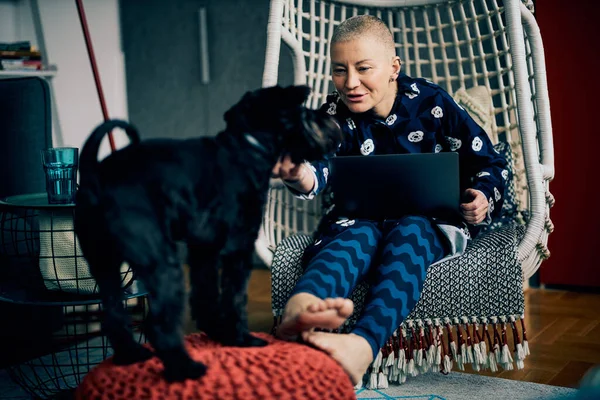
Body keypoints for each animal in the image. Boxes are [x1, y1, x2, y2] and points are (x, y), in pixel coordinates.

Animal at [74, 85, 342, 382]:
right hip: (162, 264)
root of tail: (95, 178)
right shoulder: (238, 248)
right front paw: (241, 339)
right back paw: (184, 369)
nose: (332, 125)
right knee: (159, 323)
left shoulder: (204, 251)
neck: (247, 147)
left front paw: (217, 333)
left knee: (112, 313)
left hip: (104, 265)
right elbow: (234, 298)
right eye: (303, 111)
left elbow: (206, 295)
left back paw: (131, 355)